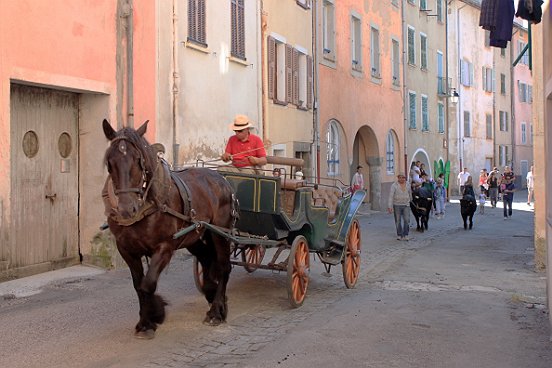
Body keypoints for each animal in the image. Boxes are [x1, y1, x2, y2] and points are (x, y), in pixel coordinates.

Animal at [102, 118, 236, 340]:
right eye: (110, 163)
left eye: (138, 160)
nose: (126, 210)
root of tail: (220, 178)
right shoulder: (126, 250)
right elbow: (138, 286)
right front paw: (145, 321)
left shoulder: (164, 247)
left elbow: (148, 284)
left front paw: (154, 314)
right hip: (194, 237)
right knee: (207, 259)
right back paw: (212, 293)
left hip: (220, 232)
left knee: (224, 267)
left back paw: (216, 311)